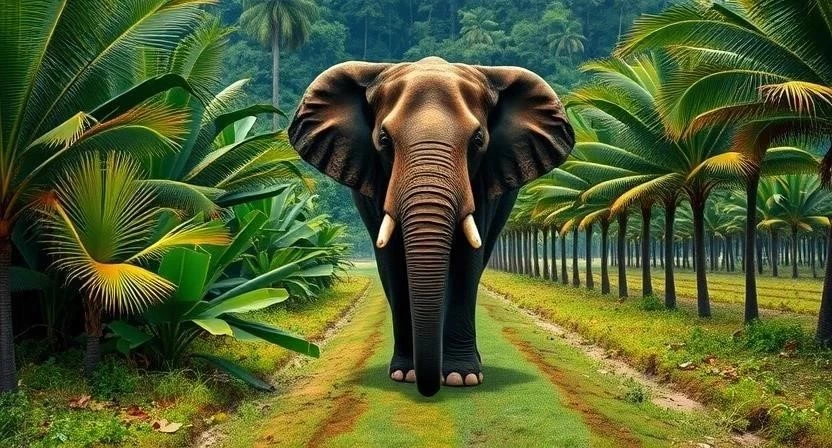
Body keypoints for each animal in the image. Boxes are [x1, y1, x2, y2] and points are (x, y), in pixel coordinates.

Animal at [288, 57, 574, 397]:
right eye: (384, 140)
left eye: (478, 141)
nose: (429, 389)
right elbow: (392, 262)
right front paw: (405, 374)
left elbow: (466, 260)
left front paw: (462, 378)